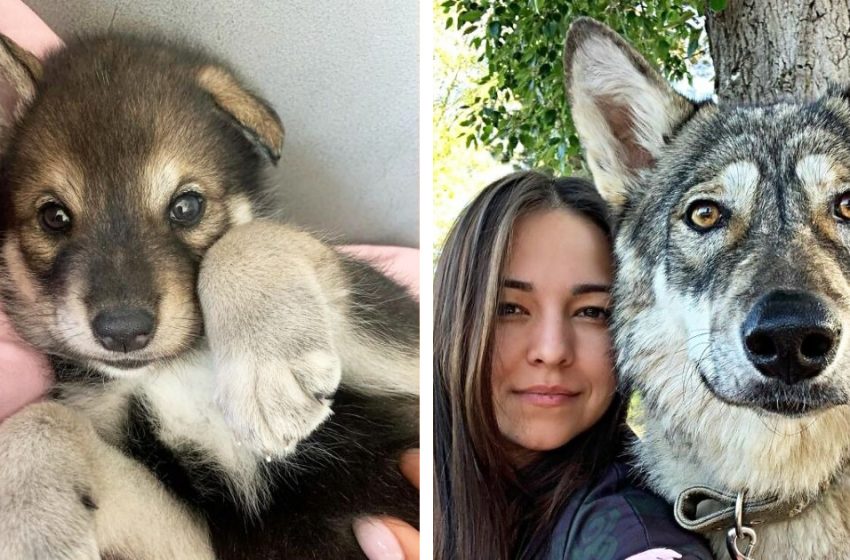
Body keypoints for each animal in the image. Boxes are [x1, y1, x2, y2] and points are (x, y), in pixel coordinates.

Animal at [0, 32, 418, 556]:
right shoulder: (201, 538)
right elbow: (42, 418)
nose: (123, 332)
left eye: (187, 206)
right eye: (53, 216)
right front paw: (33, 525)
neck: (179, 367)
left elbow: (248, 236)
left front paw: (268, 371)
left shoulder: (408, 351)